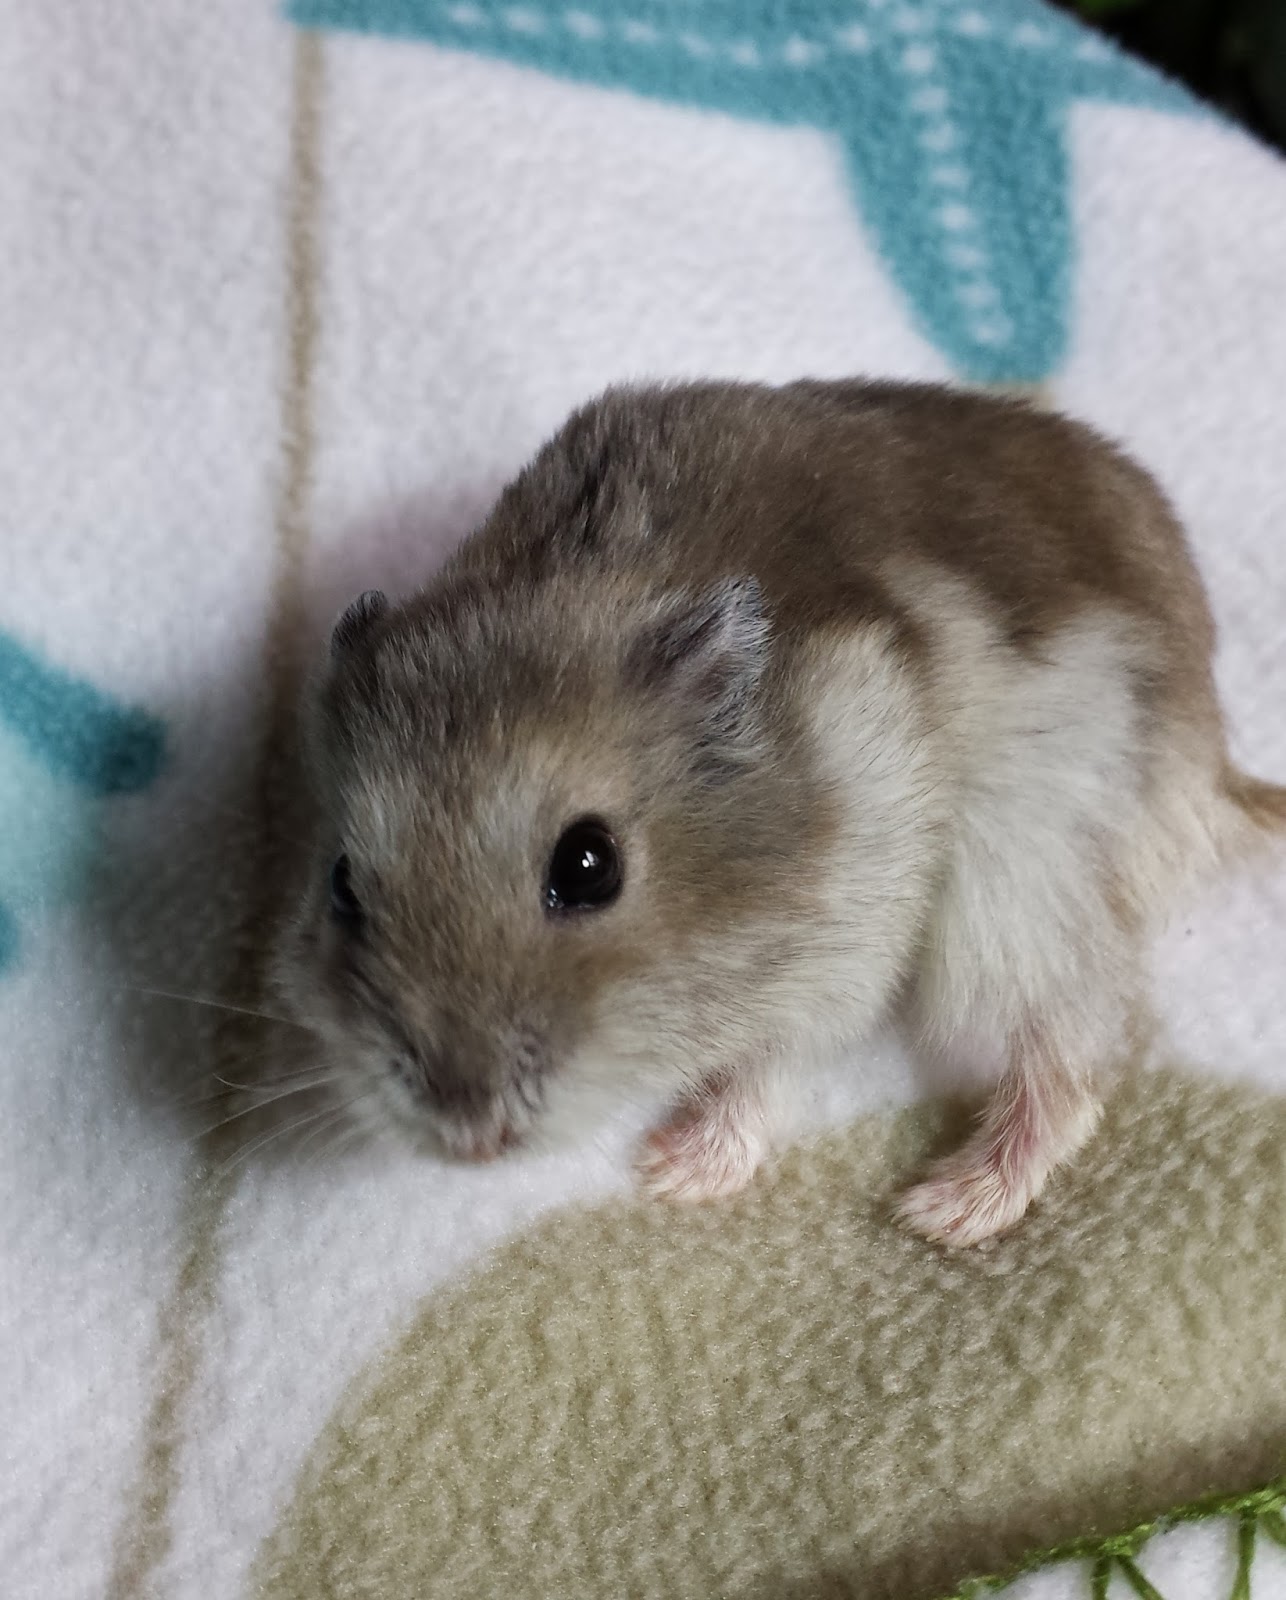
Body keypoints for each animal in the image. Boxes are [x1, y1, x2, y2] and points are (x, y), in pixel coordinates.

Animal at [273, 379, 1286, 1246]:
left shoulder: (844, 938)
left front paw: (666, 1173)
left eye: (589, 866)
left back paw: (946, 1210)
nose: (469, 1138)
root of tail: (1216, 766)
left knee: (1072, 1054)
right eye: (342, 888)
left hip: (1023, 879)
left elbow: (769, 1057)